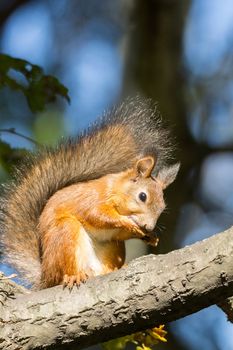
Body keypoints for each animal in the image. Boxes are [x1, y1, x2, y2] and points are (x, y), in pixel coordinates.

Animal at [0, 97, 179, 288]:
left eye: (162, 206)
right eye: (142, 196)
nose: (149, 226)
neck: (117, 190)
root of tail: (45, 277)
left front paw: (151, 237)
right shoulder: (93, 198)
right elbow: (96, 215)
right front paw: (127, 223)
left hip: (112, 247)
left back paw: (113, 270)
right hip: (65, 234)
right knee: (64, 271)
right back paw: (74, 276)